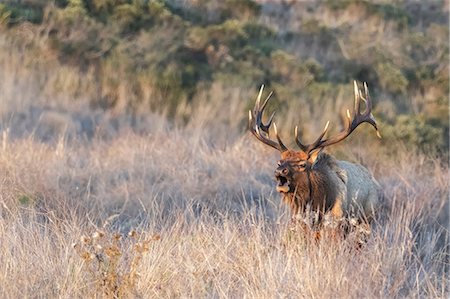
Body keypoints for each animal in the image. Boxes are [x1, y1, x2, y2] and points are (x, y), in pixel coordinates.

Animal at [250, 81, 384, 232]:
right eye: (279, 162)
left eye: (302, 164)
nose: (280, 171)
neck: (319, 203)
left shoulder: (336, 221)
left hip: (367, 219)